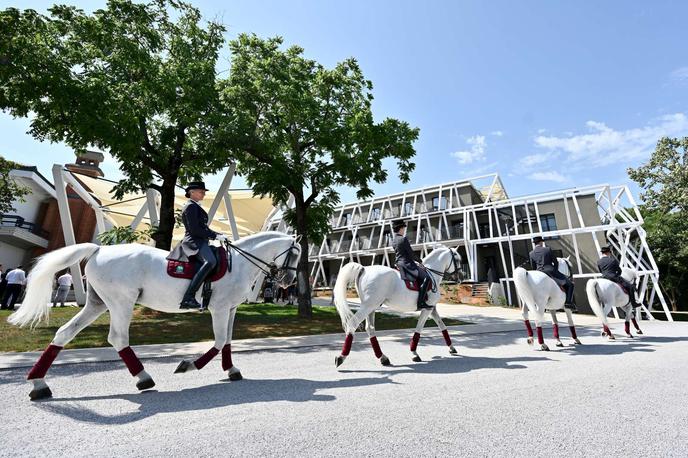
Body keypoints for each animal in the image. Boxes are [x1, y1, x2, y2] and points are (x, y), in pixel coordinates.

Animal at [7, 231, 298, 398]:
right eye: (295, 254)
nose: (287, 282)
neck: (239, 263)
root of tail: (100, 249)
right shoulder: (219, 308)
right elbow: (217, 342)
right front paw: (188, 365)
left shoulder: (232, 308)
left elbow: (227, 342)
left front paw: (232, 370)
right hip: (121, 302)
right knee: (118, 339)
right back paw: (144, 378)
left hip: (97, 304)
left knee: (65, 333)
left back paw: (39, 384)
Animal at [334, 245, 462, 366]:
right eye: (457, 259)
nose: (461, 276)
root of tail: (364, 269)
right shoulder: (427, 309)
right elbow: (419, 329)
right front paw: (414, 353)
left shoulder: (432, 308)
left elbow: (442, 326)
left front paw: (452, 348)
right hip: (368, 306)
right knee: (353, 324)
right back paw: (341, 357)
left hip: (371, 307)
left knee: (370, 329)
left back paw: (383, 358)